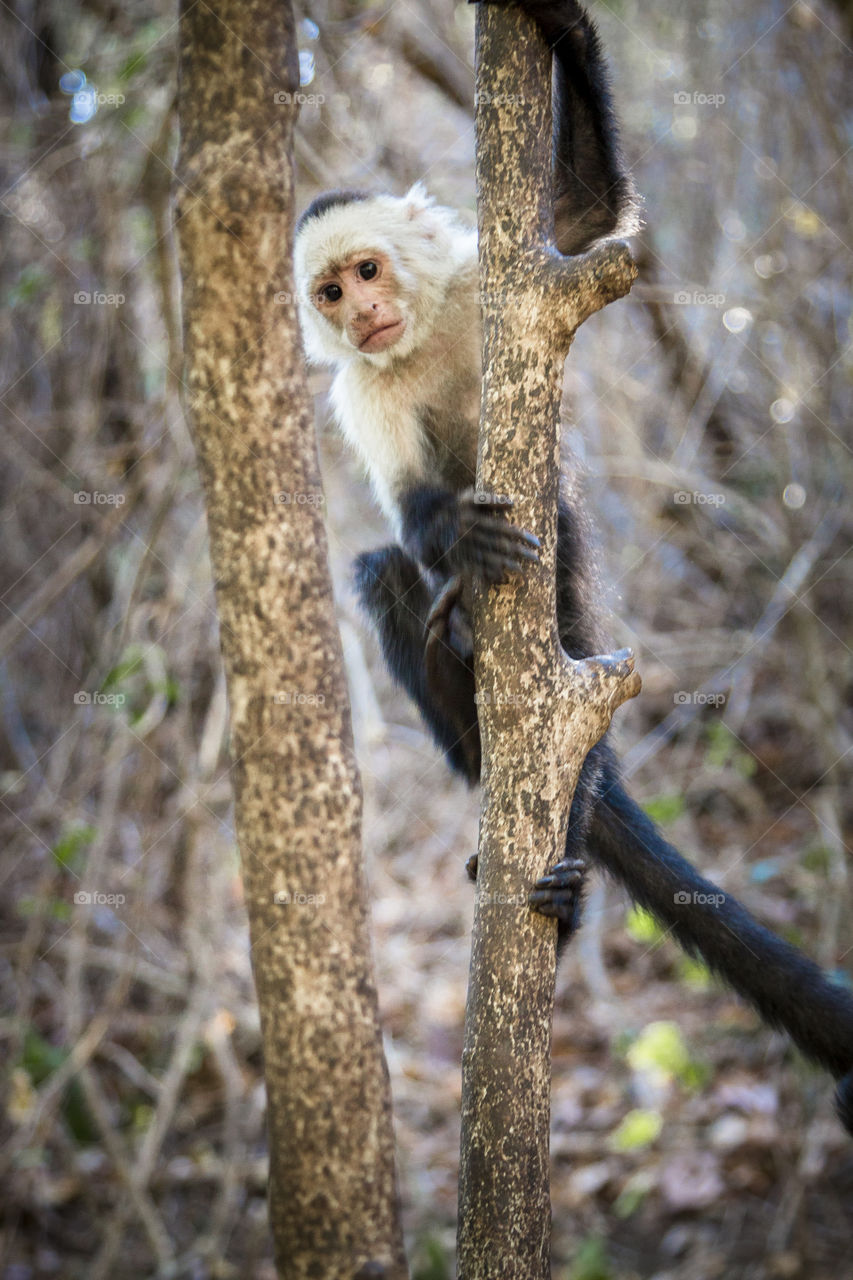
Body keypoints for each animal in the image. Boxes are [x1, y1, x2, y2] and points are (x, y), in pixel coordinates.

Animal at [293, 0, 853, 1133]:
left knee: (576, 638)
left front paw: (562, 27)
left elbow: (585, 223)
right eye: (327, 291)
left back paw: (570, 831)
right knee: (383, 574)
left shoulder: (486, 276)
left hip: (578, 620)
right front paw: (454, 543)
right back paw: (459, 669)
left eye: (368, 270)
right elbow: (408, 512)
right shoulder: (362, 389)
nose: (357, 313)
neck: (415, 335)